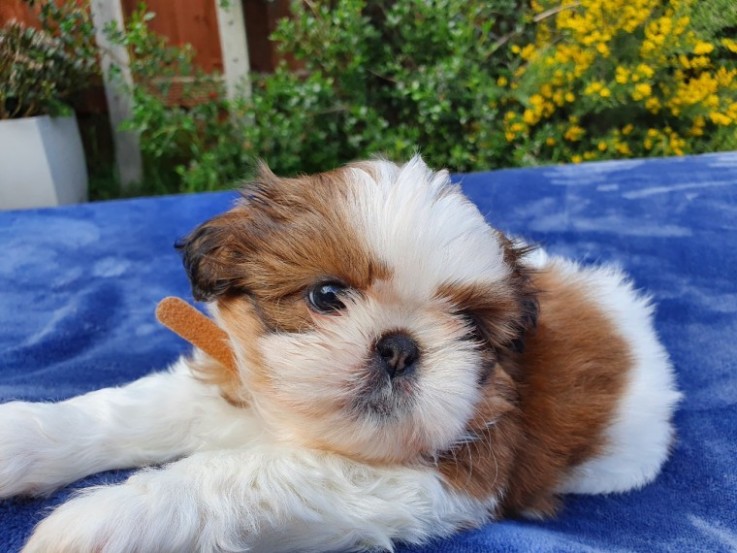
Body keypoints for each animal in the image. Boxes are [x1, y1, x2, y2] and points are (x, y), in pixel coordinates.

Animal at [0, 156, 680, 552]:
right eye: (326, 296)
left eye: (468, 326)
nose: (400, 347)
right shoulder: (235, 379)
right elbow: (128, 411)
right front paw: (20, 439)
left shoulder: (449, 473)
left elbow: (242, 474)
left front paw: (115, 518)